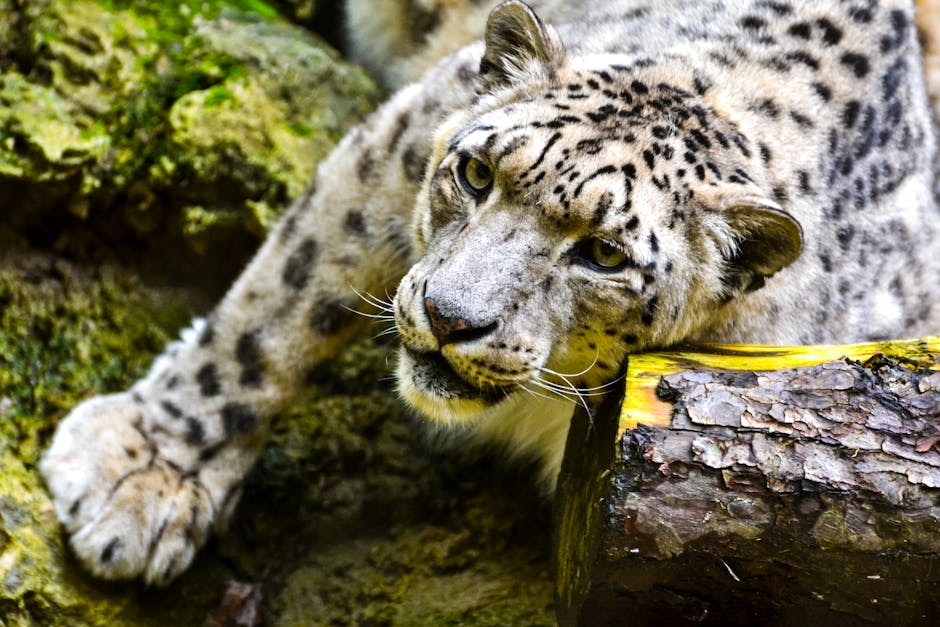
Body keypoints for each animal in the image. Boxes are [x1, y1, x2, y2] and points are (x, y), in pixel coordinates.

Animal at [41, 0, 940, 585]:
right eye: (475, 173)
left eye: (604, 254)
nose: (448, 316)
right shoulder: (401, 139)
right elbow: (277, 308)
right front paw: (144, 470)